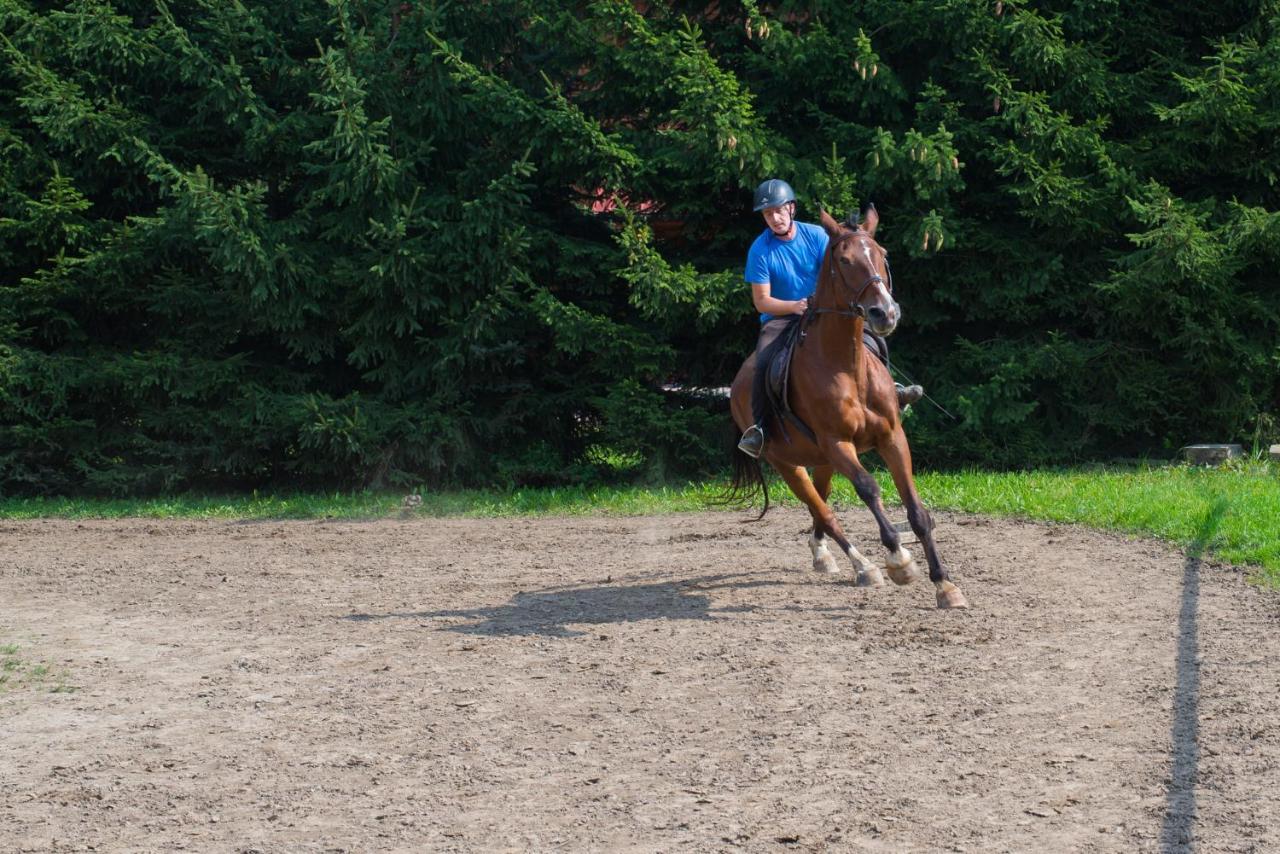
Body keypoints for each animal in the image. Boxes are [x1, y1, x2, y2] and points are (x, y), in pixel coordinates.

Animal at [732, 206, 967, 606]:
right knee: (824, 511)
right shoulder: (838, 444)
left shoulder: (891, 438)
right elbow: (869, 488)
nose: (885, 313)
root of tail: (734, 386)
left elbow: (917, 512)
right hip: (788, 464)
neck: (847, 366)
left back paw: (824, 556)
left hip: (822, 461)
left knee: (821, 506)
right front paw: (899, 560)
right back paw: (865, 566)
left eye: (882, 254)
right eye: (844, 260)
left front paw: (945, 585)